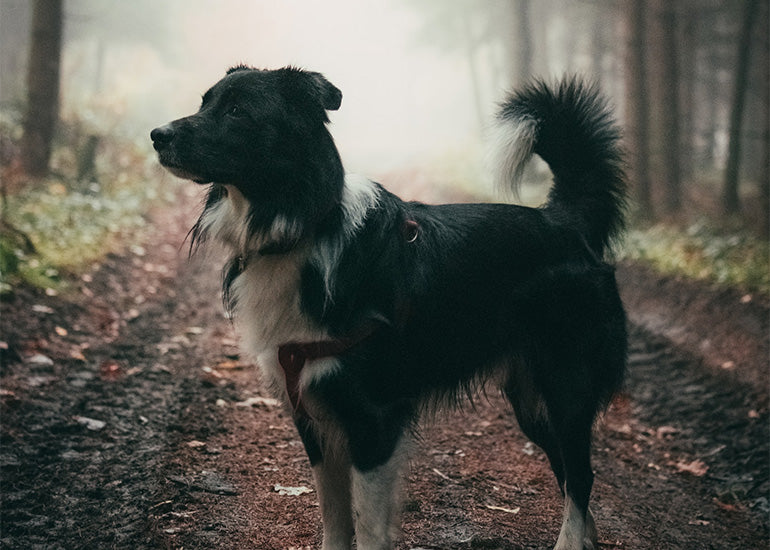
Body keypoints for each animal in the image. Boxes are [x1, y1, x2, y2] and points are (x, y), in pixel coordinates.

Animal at [153, 66, 628, 550]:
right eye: (206, 102)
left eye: (237, 110)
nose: (157, 134)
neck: (304, 229)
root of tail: (564, 222)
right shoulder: (312, 414)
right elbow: (334, 516)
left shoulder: (373, 418)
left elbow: (367, 525)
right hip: (530, 399)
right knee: (568, 473)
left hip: (566, 384)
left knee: (581, 476)